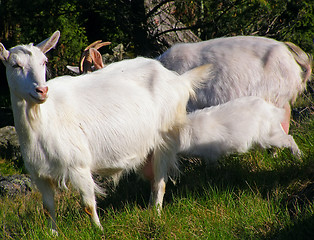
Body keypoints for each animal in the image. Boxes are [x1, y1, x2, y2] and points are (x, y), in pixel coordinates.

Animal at [0, 31, 212, 233]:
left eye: (44, 61)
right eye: (15, 65)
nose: (42, 90)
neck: (42, 120)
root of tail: (179, 80)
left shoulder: (79, 165)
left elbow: (88, 204)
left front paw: (98, 230)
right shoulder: (39, 174)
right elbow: (47, 208)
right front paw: (53, 233)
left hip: (165, 140)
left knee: (160, 182)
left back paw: (156, 214)